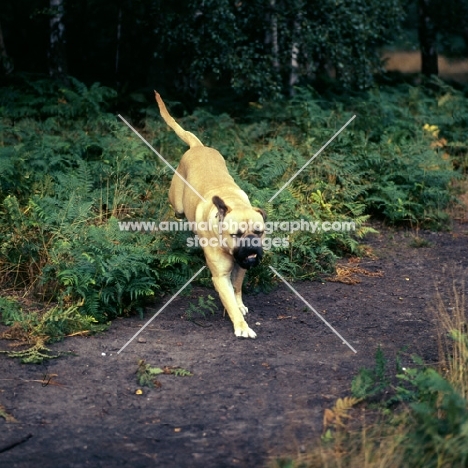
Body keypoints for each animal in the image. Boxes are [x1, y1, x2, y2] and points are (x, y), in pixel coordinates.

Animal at [155, 92, 266, 340]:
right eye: (236, 234)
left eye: (259, 232)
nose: (252, 245)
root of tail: (198, 146)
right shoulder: (220, 276)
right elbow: (230, 299)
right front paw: (241, 325)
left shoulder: (241, 266)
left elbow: (237, 288)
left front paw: (239, 304)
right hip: (176, 204)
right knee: (175, 213)